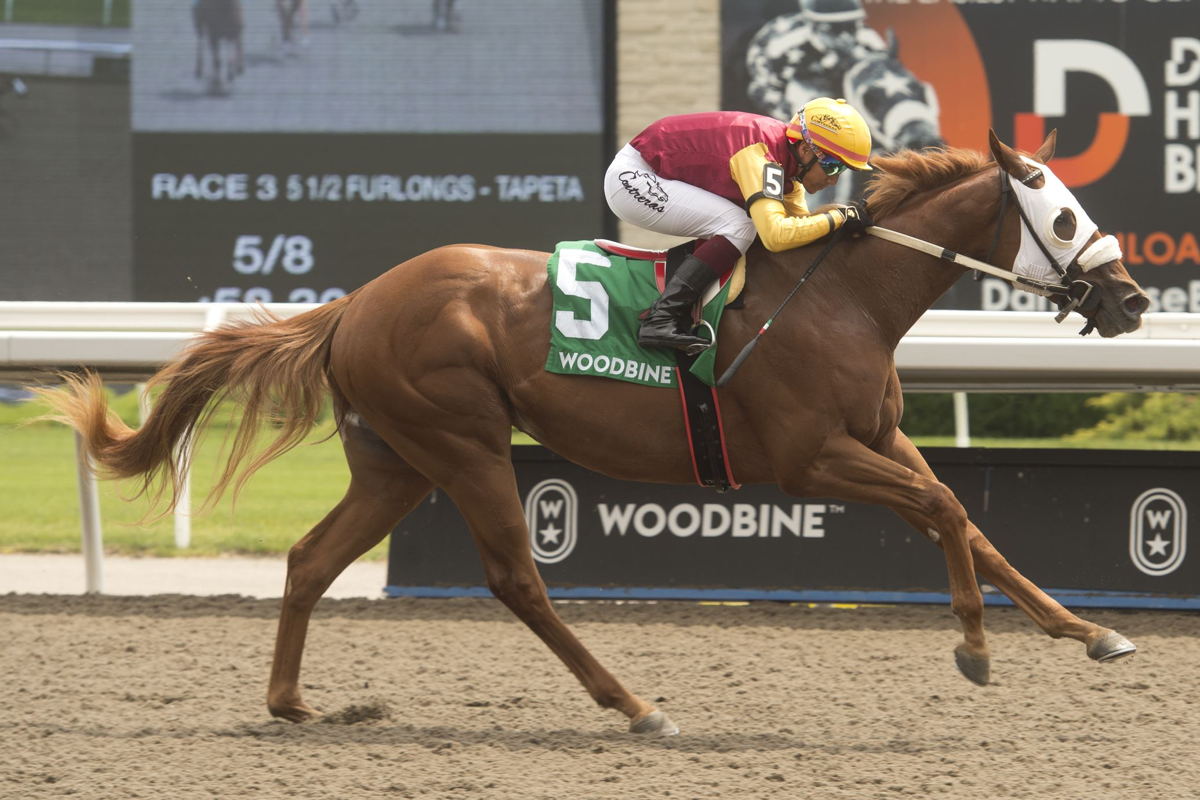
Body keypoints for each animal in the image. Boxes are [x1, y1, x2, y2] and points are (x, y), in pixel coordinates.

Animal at [42, 131, 1152, 738]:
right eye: (1061, 221)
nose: (1135, 300)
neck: (844, 295)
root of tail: (356, 302)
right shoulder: (810, 458)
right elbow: (942, 510)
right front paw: (972, 647)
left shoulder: (882, 439)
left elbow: (968, 517)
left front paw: (1091, 630)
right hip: (463, 442)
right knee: (516, 579)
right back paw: (635, 703)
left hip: (397, 460)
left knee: (312, 557)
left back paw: (291, 702)